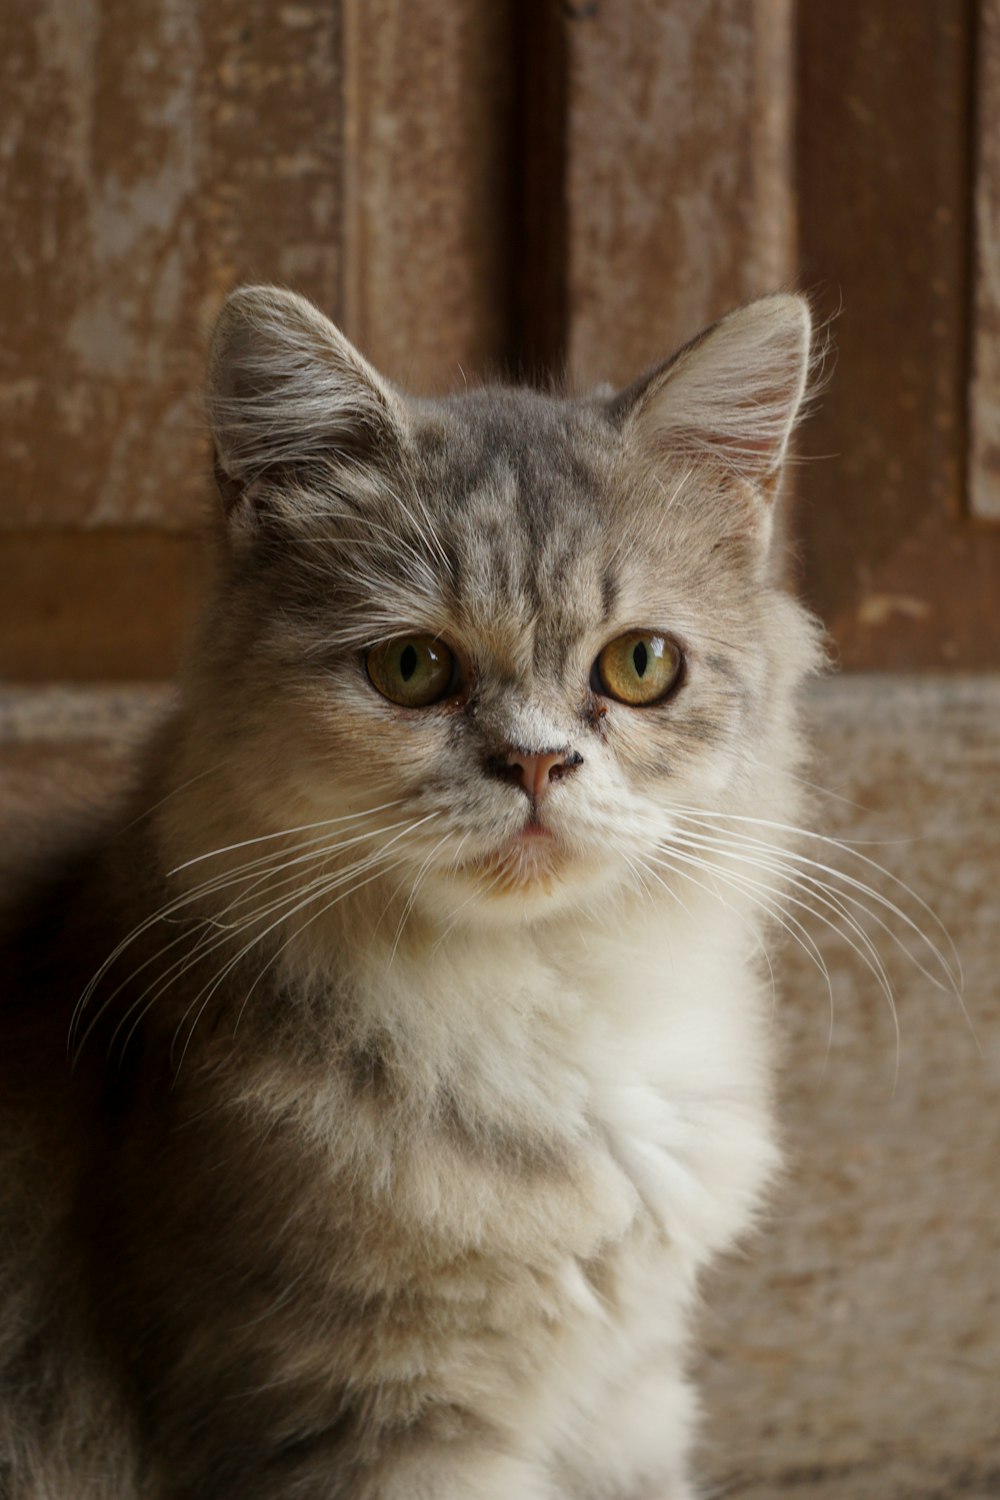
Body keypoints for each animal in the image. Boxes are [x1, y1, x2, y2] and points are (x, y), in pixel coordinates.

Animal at [0, 286, 821, 1494]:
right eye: (411, 670)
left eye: (639, 666)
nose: (535, 763)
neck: (538, 1014)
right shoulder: (364, 1419)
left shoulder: (624, 1401)